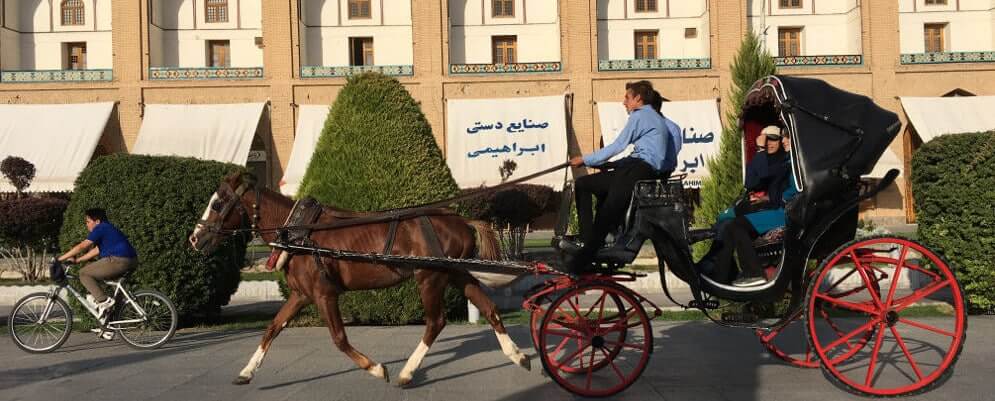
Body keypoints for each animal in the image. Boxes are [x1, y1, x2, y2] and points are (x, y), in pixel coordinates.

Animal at [187, 172, 528, 384]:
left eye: (217, 203)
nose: (194, 238)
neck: (299, 233)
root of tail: (461, 220)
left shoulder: (324, 295)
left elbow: (339, 339)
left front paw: (376, 368)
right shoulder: (301, 295)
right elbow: (272, 328)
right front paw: (247, 371)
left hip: (430, 276)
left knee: (436, 322)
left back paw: (407, 372)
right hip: (455, 272)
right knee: (488, 307)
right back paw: (517, 355)